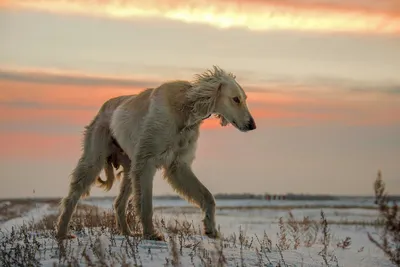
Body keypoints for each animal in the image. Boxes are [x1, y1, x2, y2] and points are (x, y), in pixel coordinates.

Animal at [55, 66, 256, 242]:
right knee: (72, 197)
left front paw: (210, 228)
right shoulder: (146, 162)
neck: (184, 109)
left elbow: (208, 197)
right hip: (95, 157)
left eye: (245, 98)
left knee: (119, 202)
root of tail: (104, 106)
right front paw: (151, 234)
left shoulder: (178, 165)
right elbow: (146, 204)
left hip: (130, 167)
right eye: (235, 99)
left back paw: (127, 233)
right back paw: (62, 233)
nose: (252, 125)